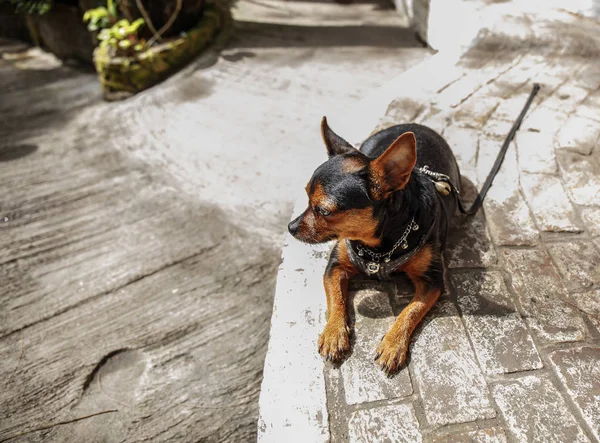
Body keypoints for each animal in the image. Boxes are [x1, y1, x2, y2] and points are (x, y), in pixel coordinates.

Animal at [288, 117, 462, 374]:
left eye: (323, 211)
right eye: (307, 200)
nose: (290, 226)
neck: (376, 247)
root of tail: (413, 124)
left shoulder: (432, 282)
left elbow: (411, 310)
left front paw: (393, 344)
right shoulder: (335, 267)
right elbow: (336, 299)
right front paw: (334, 334)